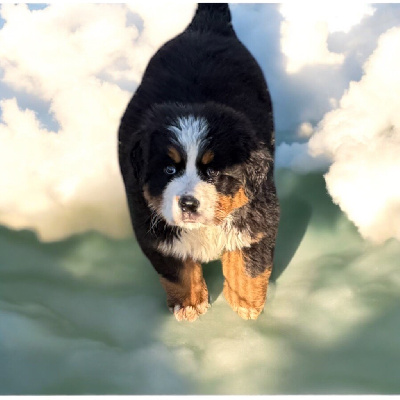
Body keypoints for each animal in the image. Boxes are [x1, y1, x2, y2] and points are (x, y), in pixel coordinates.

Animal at [117, 3, 280, 322]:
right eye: (169, 169)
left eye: (214, 171)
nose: (188, 203)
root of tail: (205, 24)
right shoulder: (153, 229)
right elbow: (177, 270)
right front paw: (189, 303)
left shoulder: (260, 218)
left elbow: (249, 264)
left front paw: (245, 302)